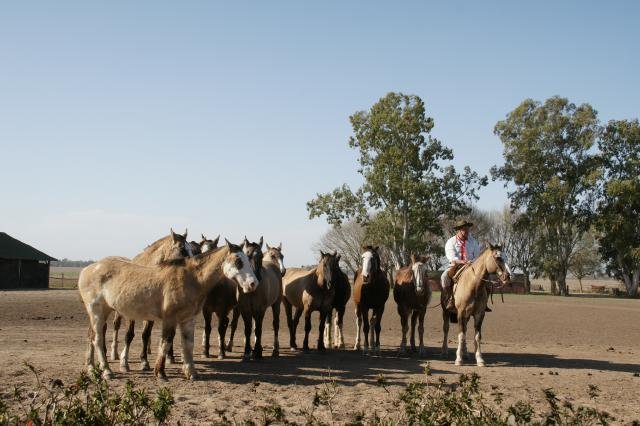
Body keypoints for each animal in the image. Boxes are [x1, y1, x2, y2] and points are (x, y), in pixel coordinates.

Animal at [79, 240, 258, 380]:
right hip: (97, 313)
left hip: (102, 312)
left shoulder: (188, 319)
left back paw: (91, 368)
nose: (253, 284)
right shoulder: (169, 319)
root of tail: (87, 269)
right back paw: (107, 371)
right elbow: (165, 343)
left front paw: (191, 372)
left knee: (91, 336)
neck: (192, 279)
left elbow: (188, 344)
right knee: (98, 339)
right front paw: (160, 372)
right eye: (238, 261)